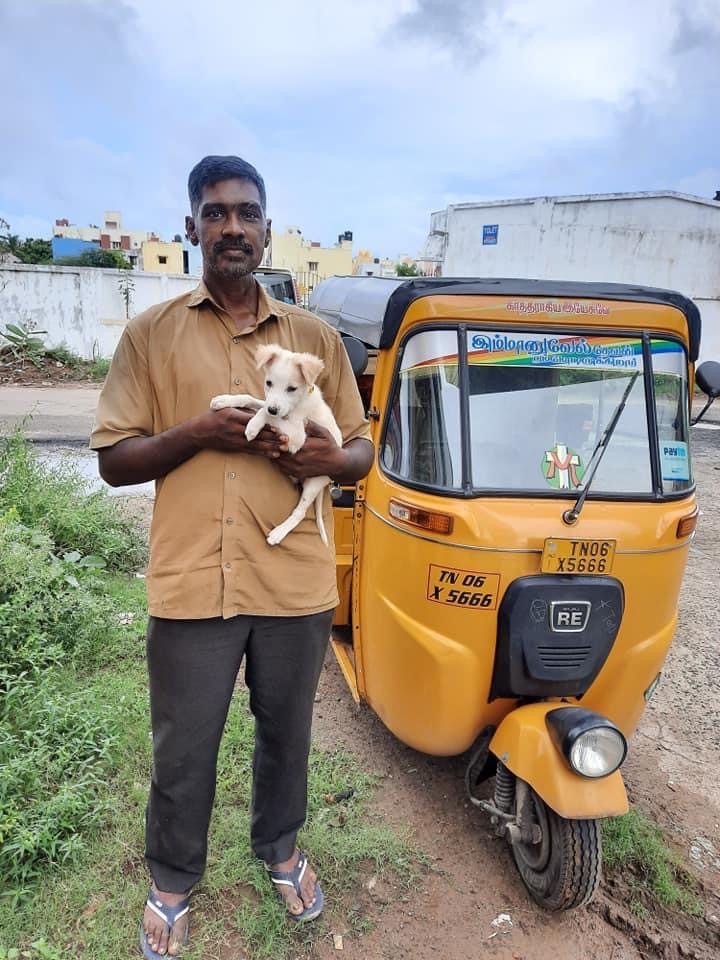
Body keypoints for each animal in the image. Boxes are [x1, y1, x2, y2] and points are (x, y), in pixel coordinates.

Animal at [210, 344, 342, 548]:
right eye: (269, 383)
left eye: (292, 388)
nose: (273, 409)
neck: (298, 402)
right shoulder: (268, 404)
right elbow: (252, 399)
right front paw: (225, 400)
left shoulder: (298, 436)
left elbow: (266, 414)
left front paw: (253, 426)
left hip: (315, 481)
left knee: (300, 512)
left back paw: (278, 533)